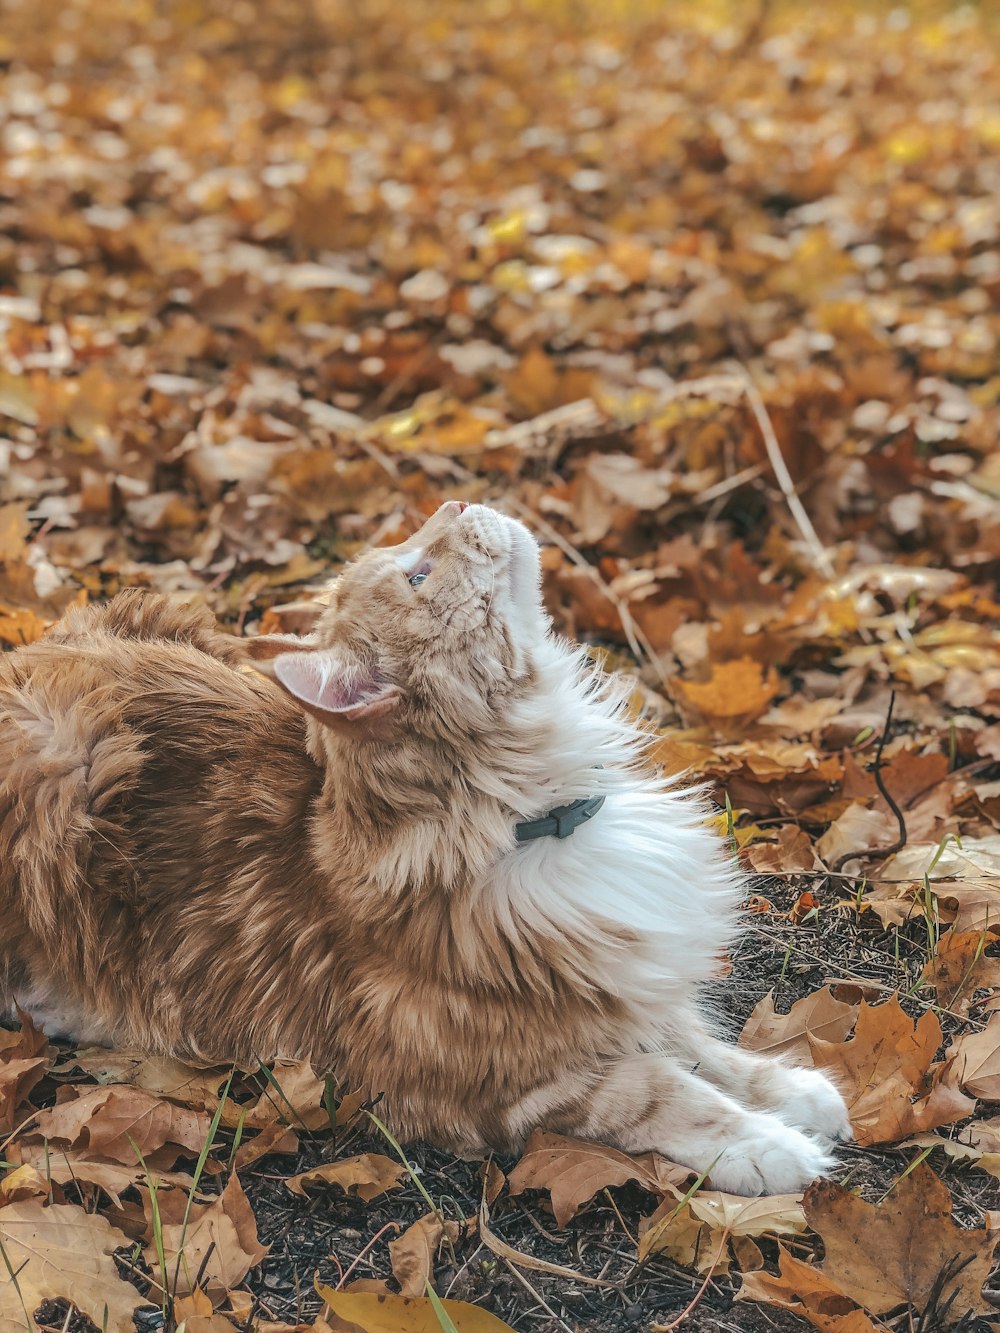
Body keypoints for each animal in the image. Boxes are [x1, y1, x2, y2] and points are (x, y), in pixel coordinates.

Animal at [0, 501, 848, 1199]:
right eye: (418, 571)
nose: (457, 501)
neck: (524, 818)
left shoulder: (617, 983)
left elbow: (699, 1042)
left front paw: (793, 1090)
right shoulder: (490, 1081)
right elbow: (659, 1087)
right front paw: (768, 1146)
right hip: (60, 777)